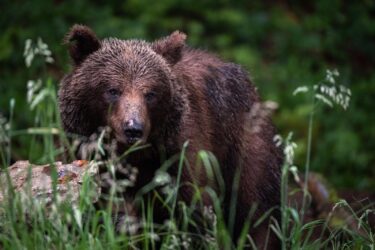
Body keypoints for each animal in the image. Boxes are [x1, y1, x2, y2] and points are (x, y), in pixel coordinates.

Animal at [58, 24, 282, 248]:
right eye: (113, 90)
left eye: (150, 93)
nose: (133, 128)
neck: (135, 157)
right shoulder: (85, 152)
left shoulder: (179, 156)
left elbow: (193, 211)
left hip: (243, 143)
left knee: (258, 206)